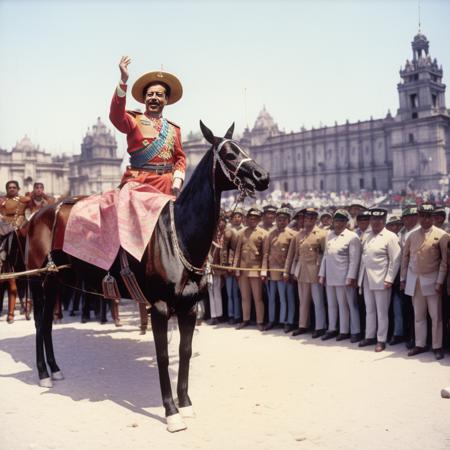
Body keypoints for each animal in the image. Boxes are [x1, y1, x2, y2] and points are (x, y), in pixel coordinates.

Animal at [26, 121, 268, 430]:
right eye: (228, 154)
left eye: (243, 147)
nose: (263, 176)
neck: (179, 235)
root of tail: (39, 214)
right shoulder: (160, 308)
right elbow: (163, 356)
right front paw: (171, 412)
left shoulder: (190, 307)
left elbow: (185, 352)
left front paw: (185, 403)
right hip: (38, 281)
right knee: (39, 323)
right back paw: (43, 373)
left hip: (57, 282)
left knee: (46, 324)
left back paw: (55, 370)